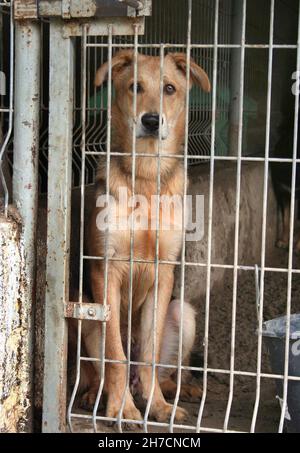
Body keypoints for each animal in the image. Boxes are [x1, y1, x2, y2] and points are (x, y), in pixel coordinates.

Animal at [77, 51, 211, 422]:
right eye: (134, 87)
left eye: (170, 88)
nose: (151, 121)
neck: (148, 178)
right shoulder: (105, 270)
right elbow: (116, 357)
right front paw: (122, 410)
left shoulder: (164, 272)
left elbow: (149, 352)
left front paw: (159, 407)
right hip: (86, 313)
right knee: (100, 371)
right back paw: (97, 396)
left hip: (183, 313)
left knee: (156, 368)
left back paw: (175, 390)